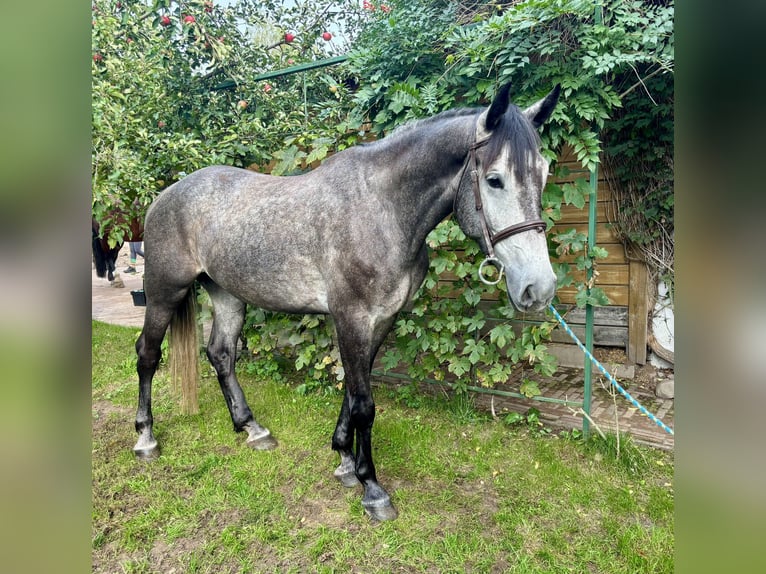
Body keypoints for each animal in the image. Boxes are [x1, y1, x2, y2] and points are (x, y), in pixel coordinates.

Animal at [133, 83, 561, 521]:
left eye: (544, 174)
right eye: (495, 180)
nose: (539, 288)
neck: (383, 211)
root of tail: (165, 196)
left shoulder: (381, 319)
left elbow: (354, 391)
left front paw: (344, 460)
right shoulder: (351, 317)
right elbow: (364, 405)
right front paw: (372, 488)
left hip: (227, 295)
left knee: (221, 354)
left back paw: (251, 428)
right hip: (164, 292)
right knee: (147, 354)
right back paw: (146, 438)